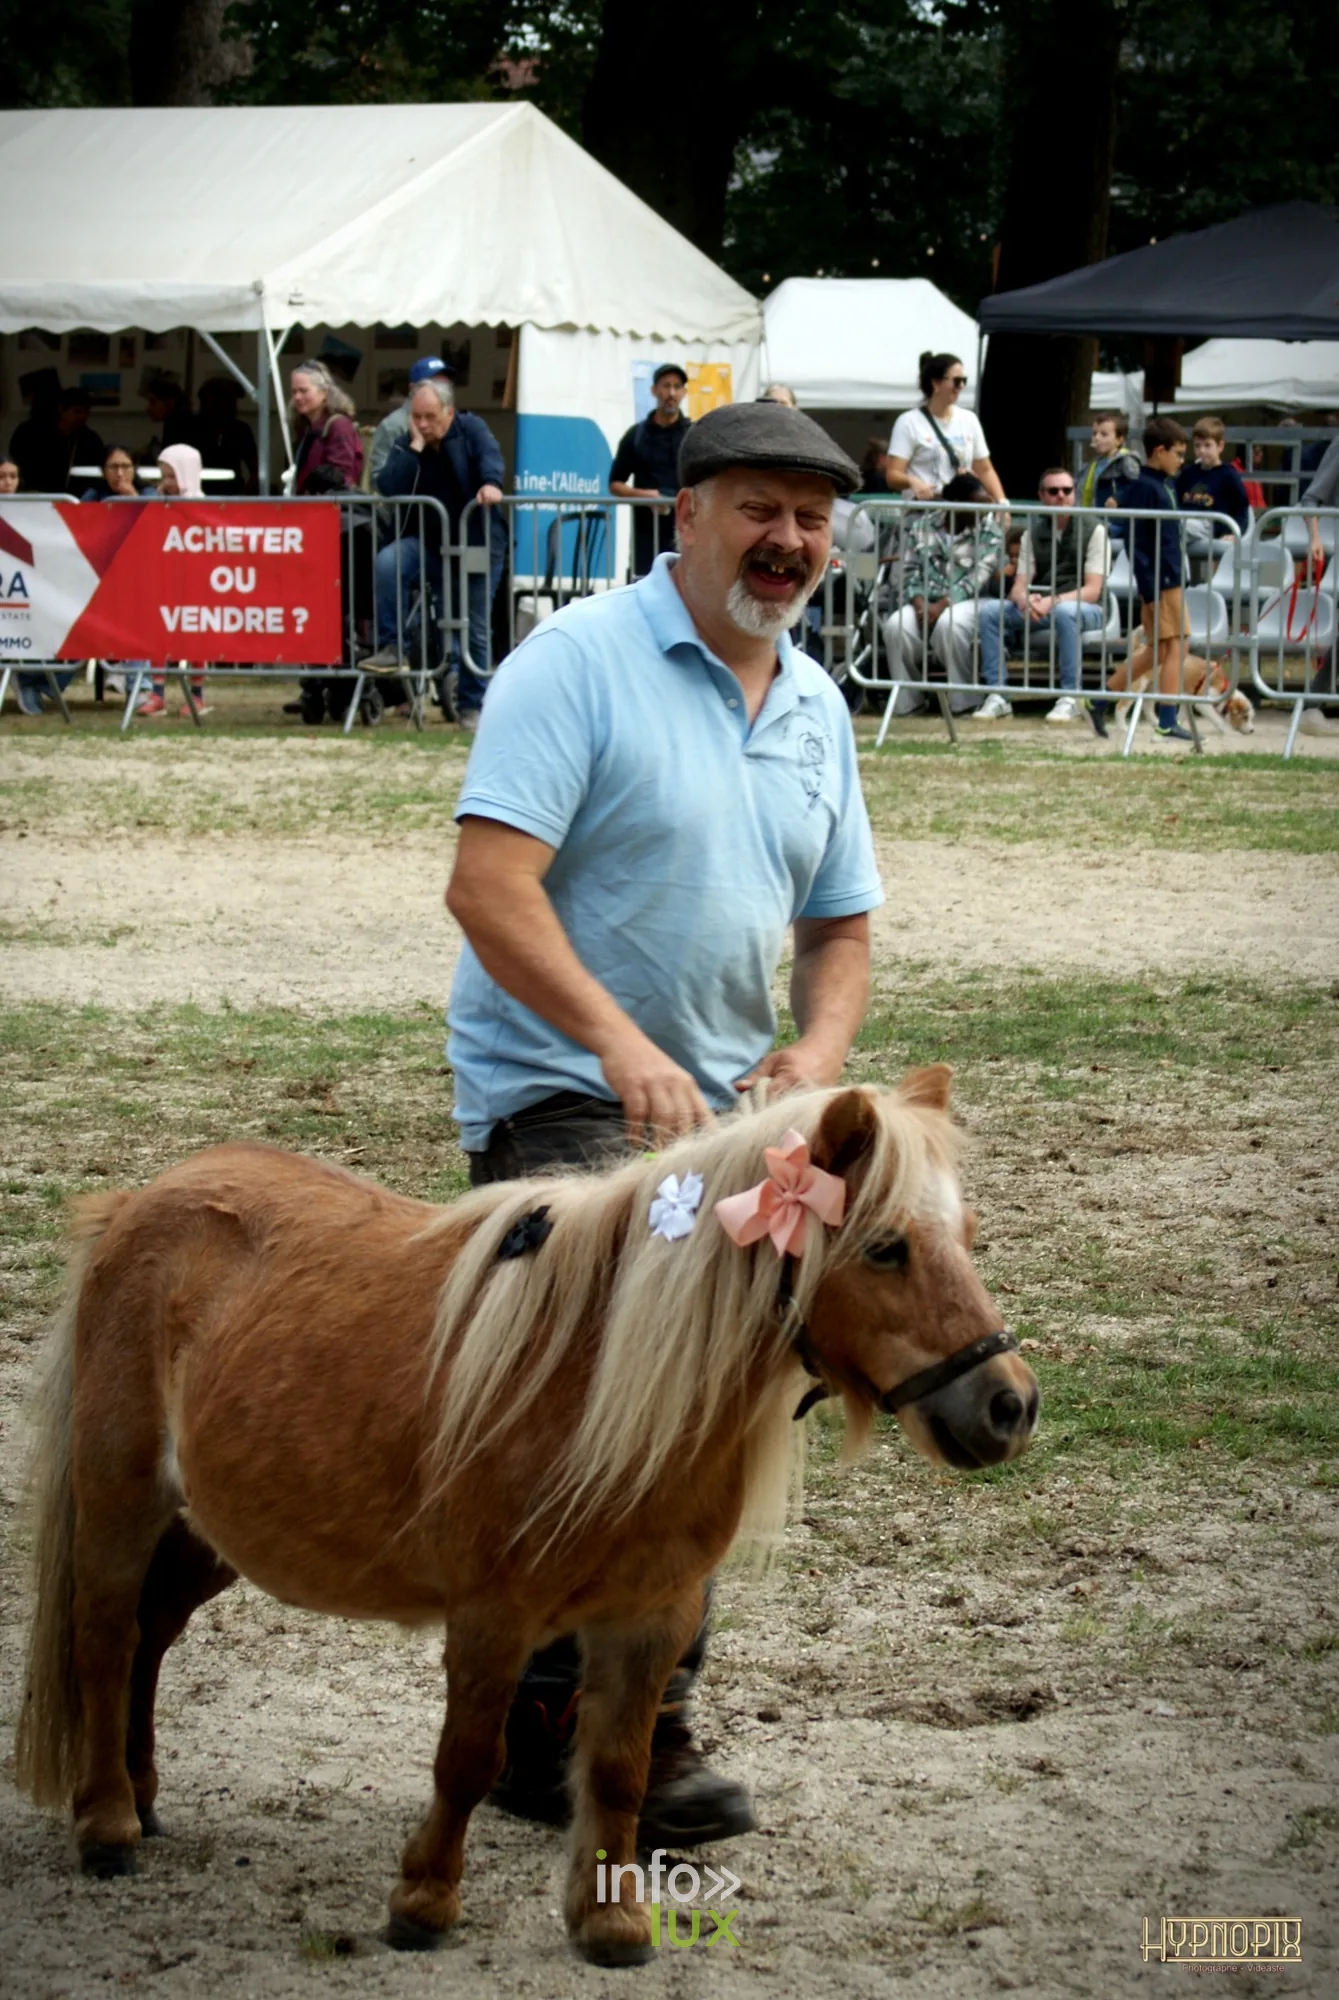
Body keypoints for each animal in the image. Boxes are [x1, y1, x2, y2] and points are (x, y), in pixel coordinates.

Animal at [14, 1067, 1038, 1966]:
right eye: (884, 1246)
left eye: (967, 1235)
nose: (1008, 1405)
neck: (594, 1388)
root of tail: (140, 1202)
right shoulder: (491, 1619)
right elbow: (467, 1758)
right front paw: (423, 1903)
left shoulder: (649, 1618)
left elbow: (618, 1769)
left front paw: (610, 1924)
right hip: (121, 1504)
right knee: (105, 1640)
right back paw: (106, 1824)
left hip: (208, 1532)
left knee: (148, 1642)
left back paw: (141, 1794)